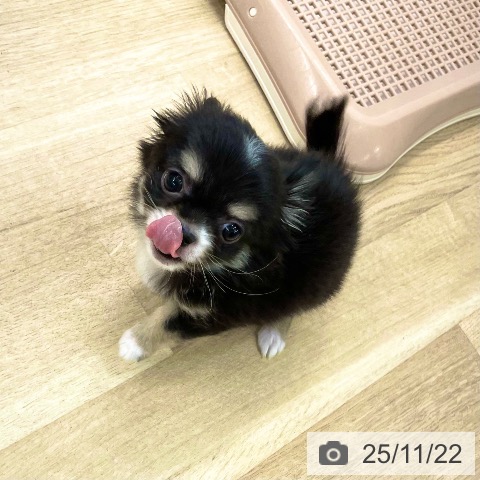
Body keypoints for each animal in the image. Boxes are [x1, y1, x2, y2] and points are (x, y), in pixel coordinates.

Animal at [119, 89, 360, 360]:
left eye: (231, 231)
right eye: (173, 181)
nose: (181, 233)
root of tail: (334, 165)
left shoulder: (212, 314)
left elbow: (167, 322)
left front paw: (134, 343)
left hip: (316, 281)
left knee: (292, 306)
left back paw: (273, 334)